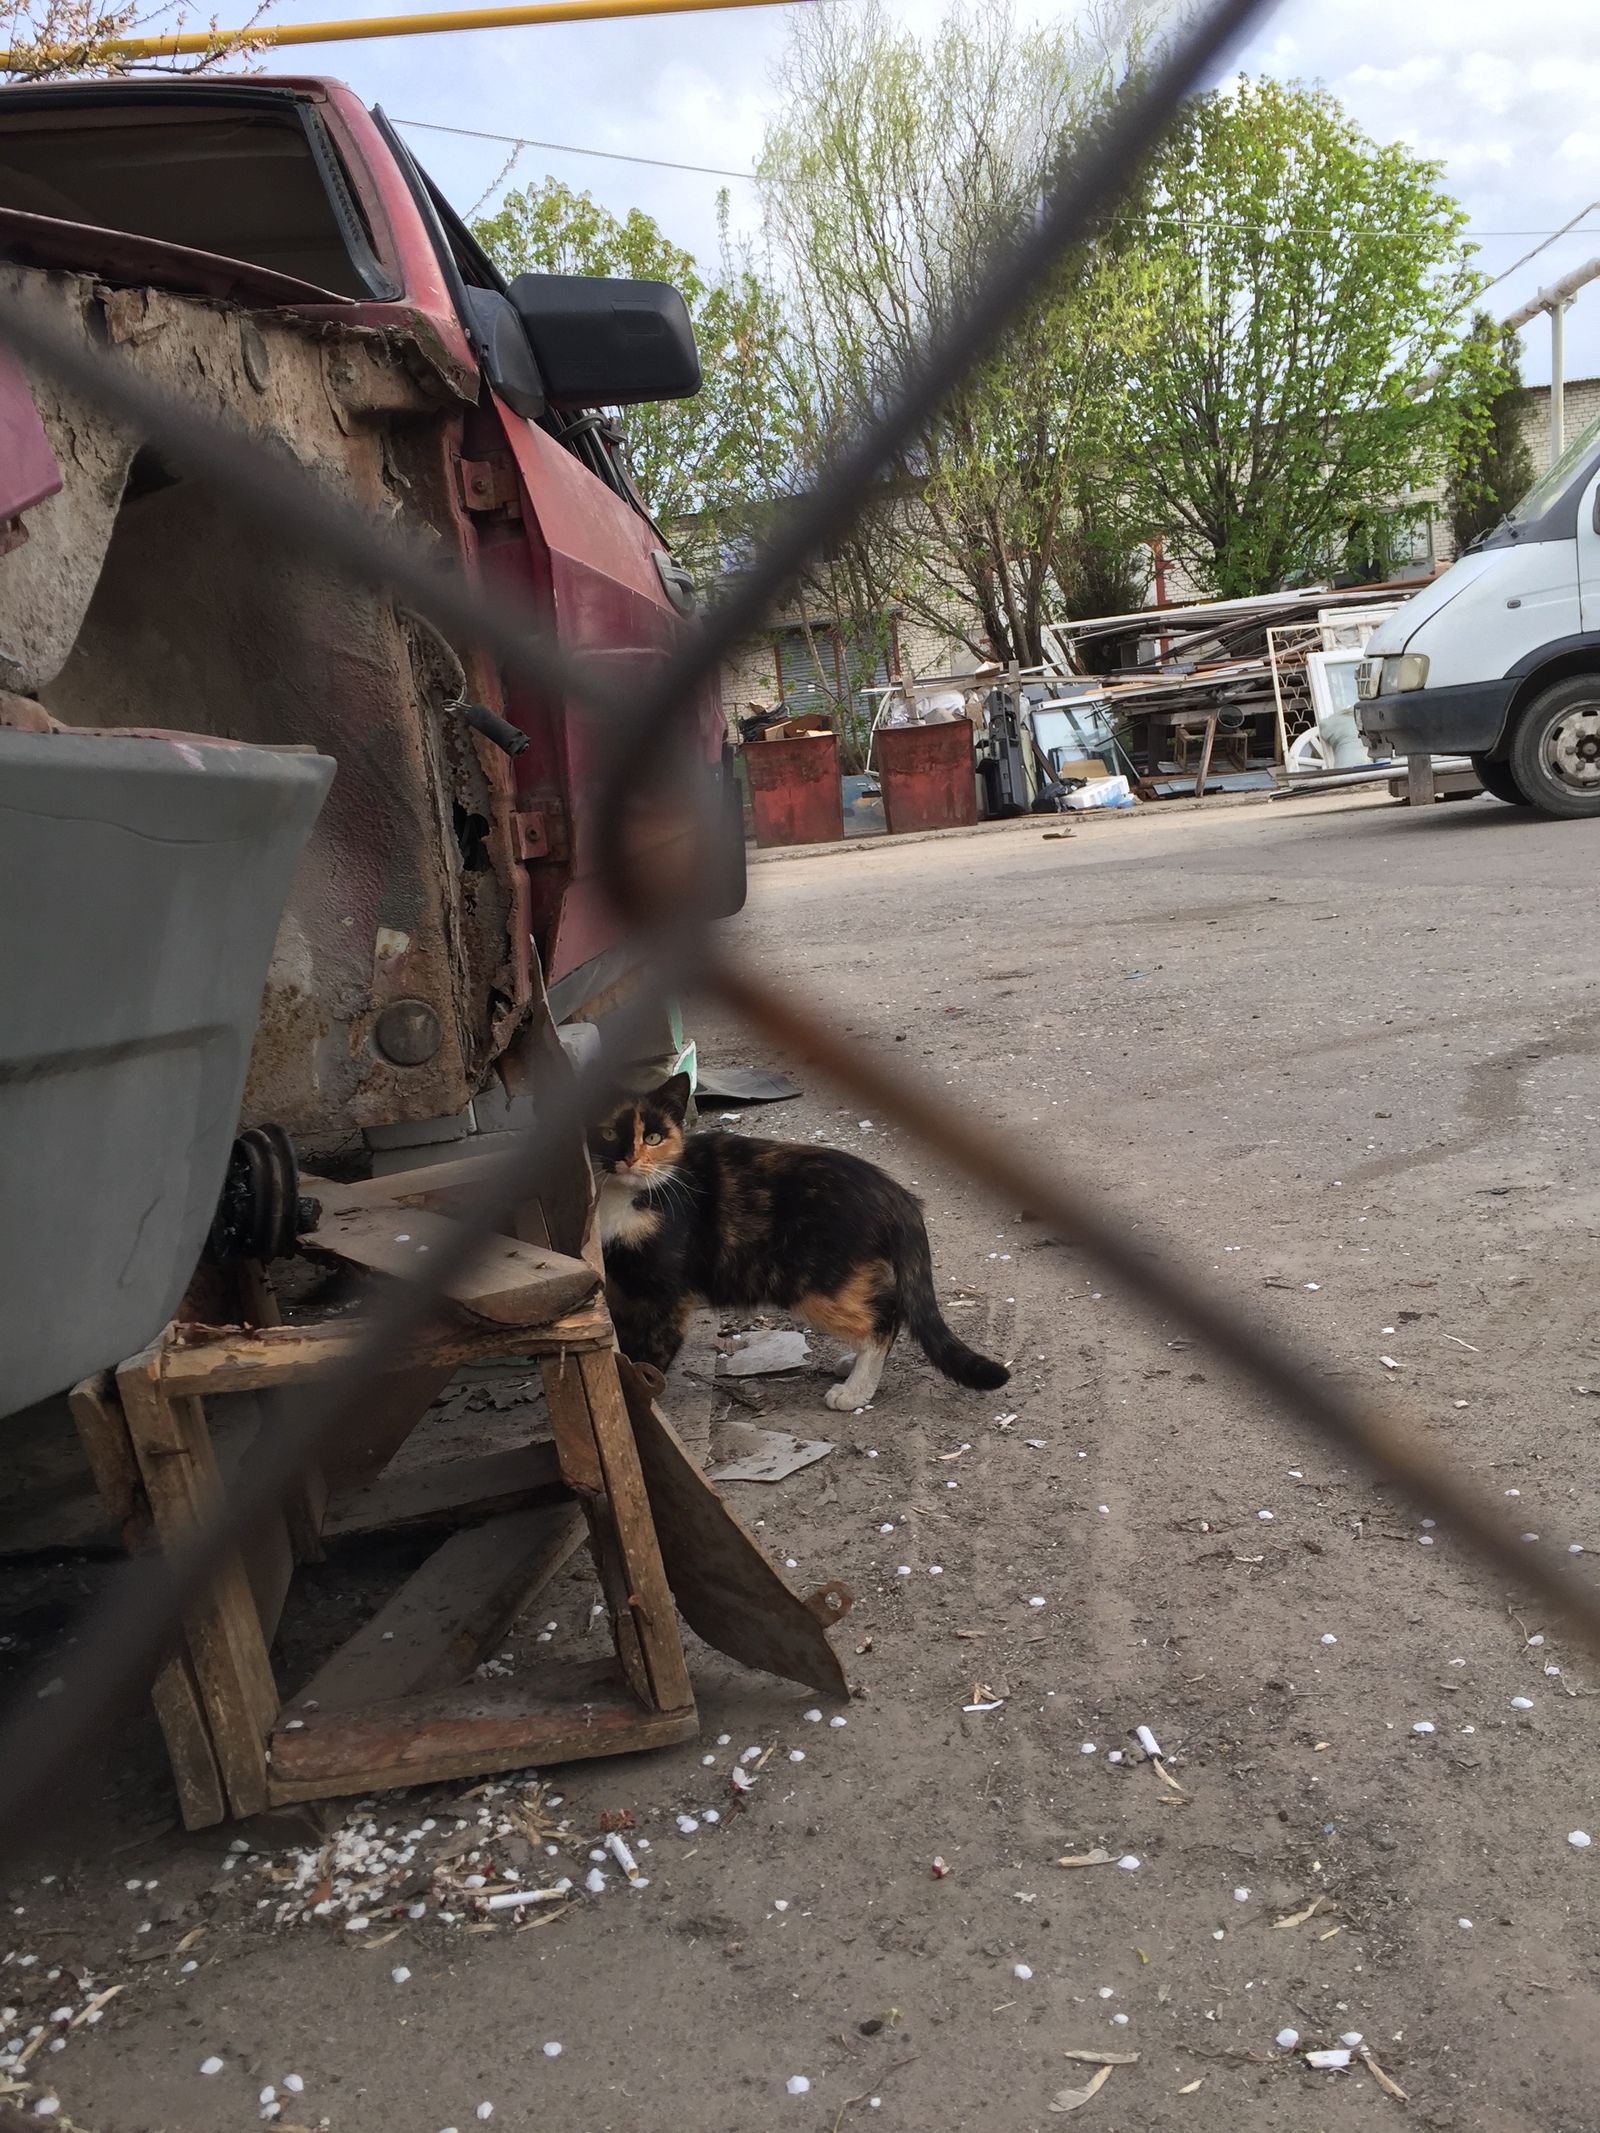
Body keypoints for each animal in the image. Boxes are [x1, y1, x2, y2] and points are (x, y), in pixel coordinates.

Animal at [588, 1075, 1015, 1407]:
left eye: (653, 1136)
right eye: (607, 1132)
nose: (628, 1159)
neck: (620, 1199)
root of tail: (895, 1192)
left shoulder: (664, 1291)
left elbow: (649, 1353)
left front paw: (642, 1402)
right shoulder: (617, 1287)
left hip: (811, 1280)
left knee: (884, 1317)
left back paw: (854, 1391)